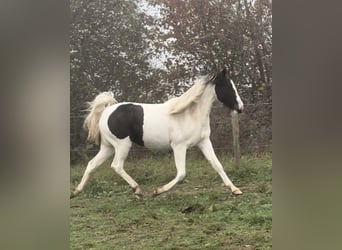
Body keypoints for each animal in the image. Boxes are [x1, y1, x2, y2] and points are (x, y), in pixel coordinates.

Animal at [71, 68, 243, 199]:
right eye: (229, 87)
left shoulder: (204, 142)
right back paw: (137, 190)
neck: (189, 114)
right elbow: (181, 173)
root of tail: (107, 111)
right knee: (116, 165)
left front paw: (235, 189)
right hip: (122, 145)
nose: (240, 107)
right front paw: (158, 191)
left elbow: (217, 165)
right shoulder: (179, 147)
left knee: (92, 164)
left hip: (108, 147)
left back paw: (76, 191)